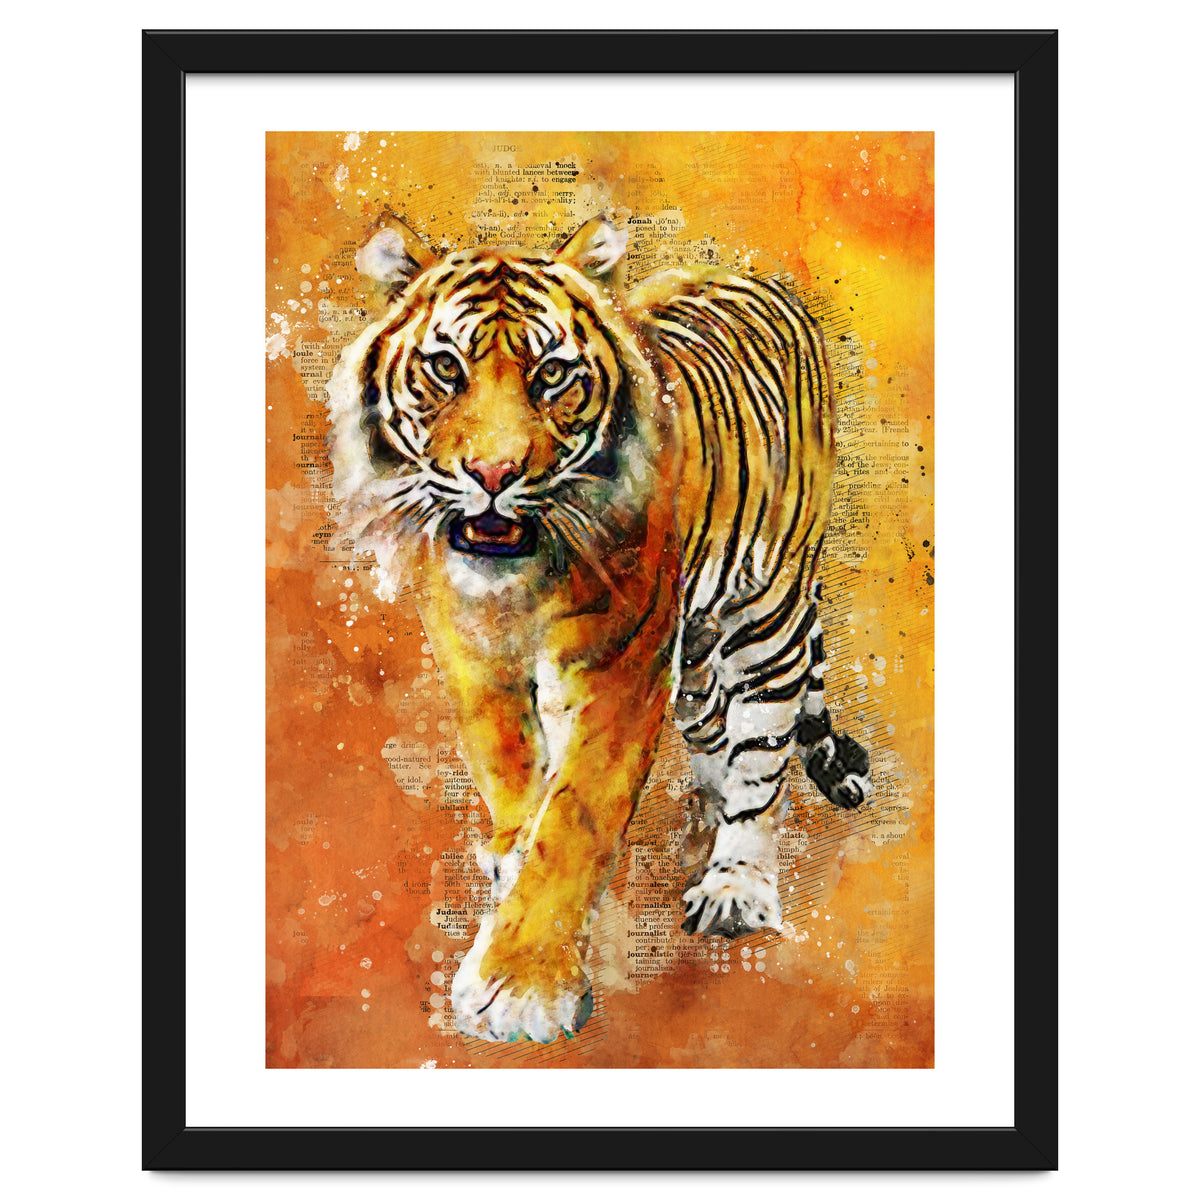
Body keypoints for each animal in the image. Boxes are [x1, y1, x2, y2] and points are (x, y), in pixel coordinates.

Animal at [325, 210, 870, 1044]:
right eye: (446, 369)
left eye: (552, 375)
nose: (493, 475)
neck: (518, 583)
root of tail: (755, 277)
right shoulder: (472, 650)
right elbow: (510, 769)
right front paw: (512, 855)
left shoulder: (621, 666)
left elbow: (576, 818)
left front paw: (521, 985)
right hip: (698, 651)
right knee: (714, 730)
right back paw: (703, 814)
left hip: (765, 610)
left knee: (763, 752)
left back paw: (736, 882)